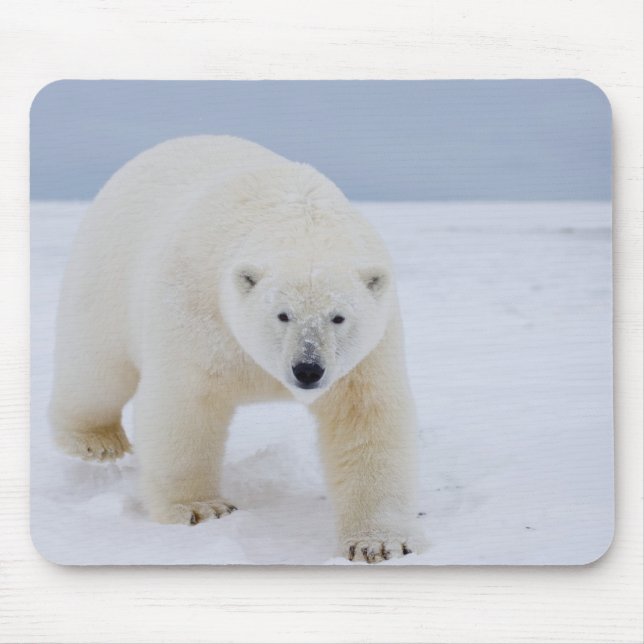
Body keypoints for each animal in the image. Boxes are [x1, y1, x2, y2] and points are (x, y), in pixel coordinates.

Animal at [50, 135, 419, 563]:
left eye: (338, 317)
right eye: (283, 315)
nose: (308, 370)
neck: (299, 222)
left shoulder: (368, 351)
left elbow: (367, 420)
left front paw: (377, 543)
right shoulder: (197, 310)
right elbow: (185, 405)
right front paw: (200, 508)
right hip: (108, 273)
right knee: (98, 366)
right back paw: (96, 442)